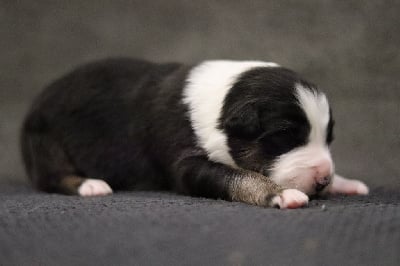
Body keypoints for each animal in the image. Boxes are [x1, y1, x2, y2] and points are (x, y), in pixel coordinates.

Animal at [19, 57, 368, 208]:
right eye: (285, 136)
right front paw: (281, 194)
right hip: (46, 141)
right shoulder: (186, 161)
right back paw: (91, 185)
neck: (222, 103)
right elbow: (238, 177)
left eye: (328, 138)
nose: (323, 179)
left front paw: (344, 182)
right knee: (53, 176)